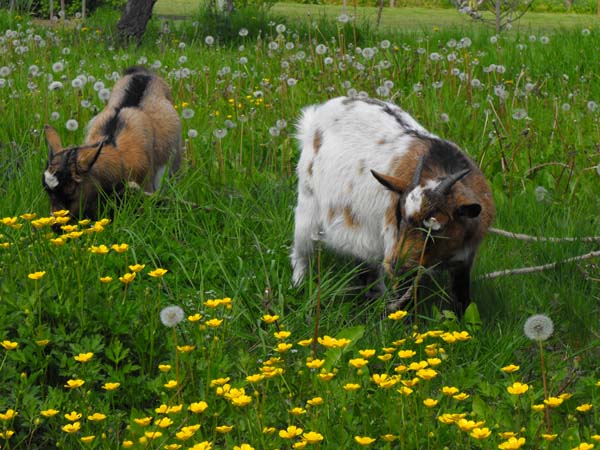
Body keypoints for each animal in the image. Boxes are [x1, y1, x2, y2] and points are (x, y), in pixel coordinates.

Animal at [290, 96, 492, 312]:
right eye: (398, 216)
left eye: (435, 224)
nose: (396, 265)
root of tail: (314, 117)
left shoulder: (463, 260)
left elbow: (462, 300)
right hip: (307, 205)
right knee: (302, 251)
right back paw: (299, 284)